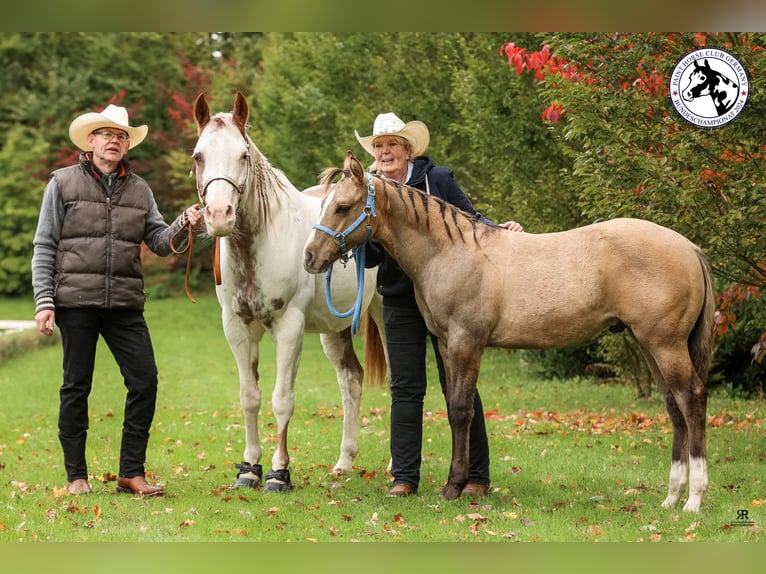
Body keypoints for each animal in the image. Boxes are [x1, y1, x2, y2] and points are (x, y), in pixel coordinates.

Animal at [192, 97, 384, 492]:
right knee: (351, 380)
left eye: (243, 155)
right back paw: (344, 462)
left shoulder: (289, 328)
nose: (219, 215)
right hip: (334, 330)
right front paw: (249, 469)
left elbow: (282, 400)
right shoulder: (237, 328)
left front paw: (279, 474)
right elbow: (249, 397)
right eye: (198, 155)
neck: (263, 240)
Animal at [304, 152, 716, 512]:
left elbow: (461, 410)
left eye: (343, 207)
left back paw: (694, 499)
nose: (310, 257)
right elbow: (456, 409)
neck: (451, 252)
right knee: (674, 406)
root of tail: (690, 248)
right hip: (649, 345)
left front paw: (454, 487)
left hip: (665, 345)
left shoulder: (467, 343)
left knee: (692, 400)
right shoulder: (446, 344)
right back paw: (671, 497)